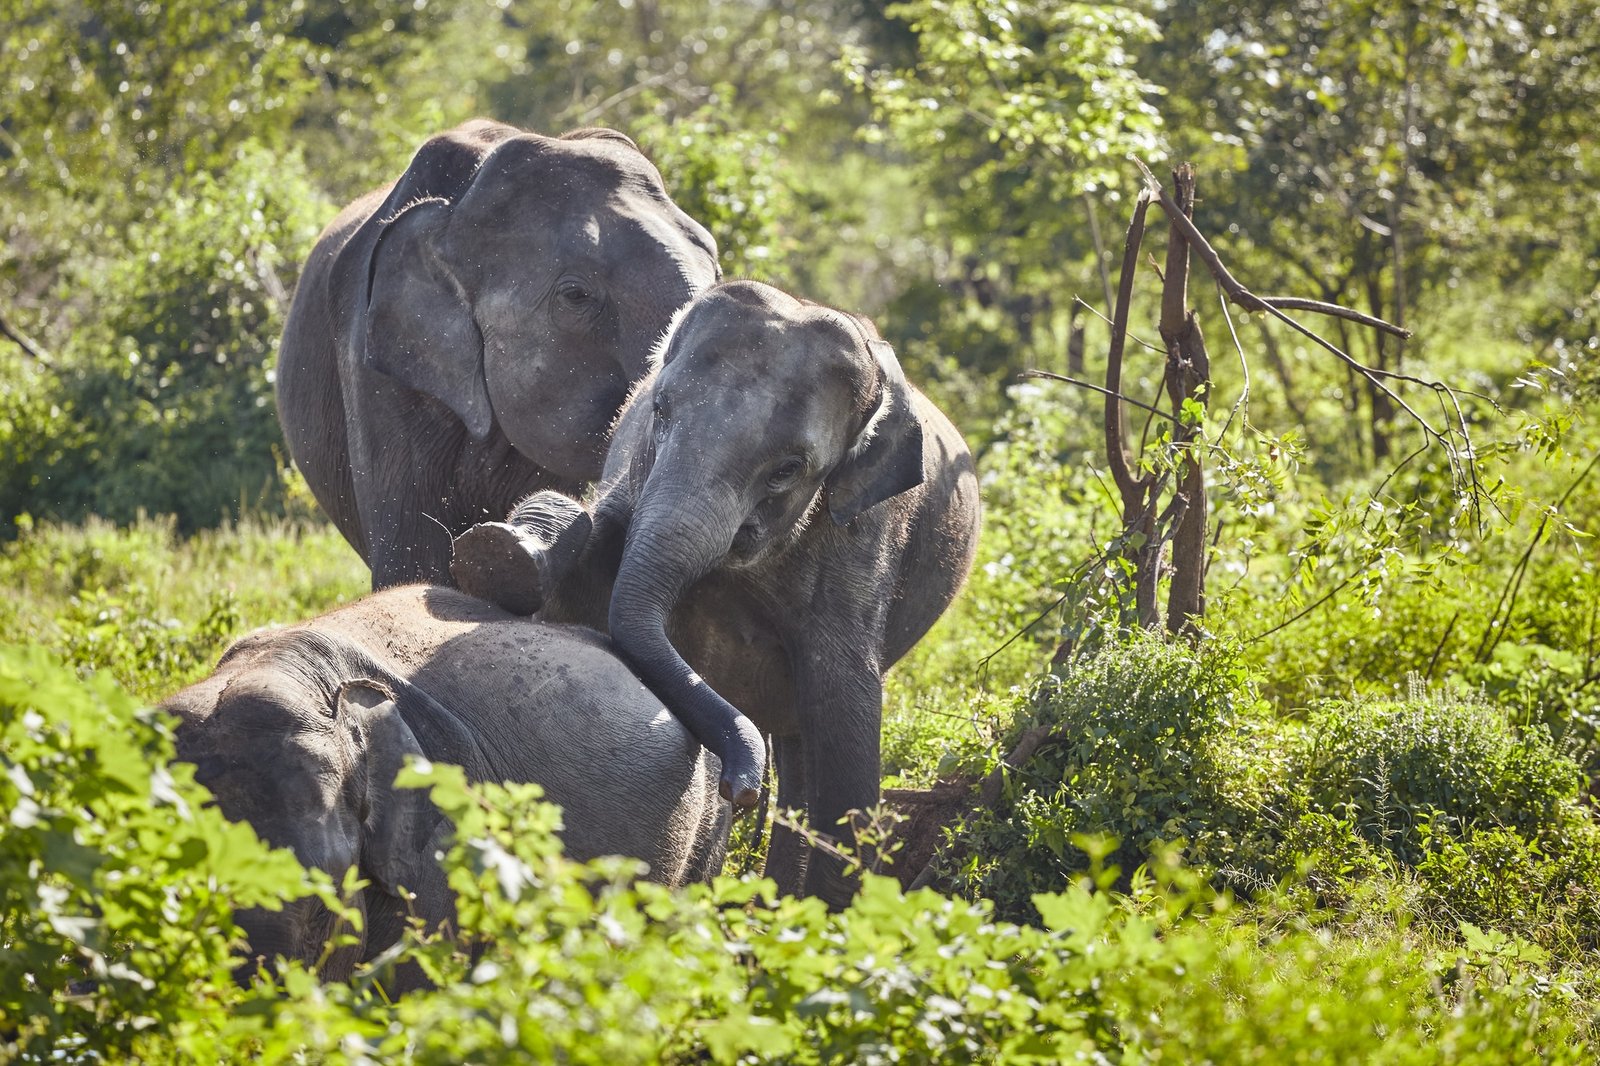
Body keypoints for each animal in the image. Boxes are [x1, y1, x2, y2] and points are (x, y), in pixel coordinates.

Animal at [449, 279, 981, 904]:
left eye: (787, 469)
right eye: (659, 411)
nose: (740, 789)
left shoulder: (861, 543)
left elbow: (846, 731)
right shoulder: (634, 469)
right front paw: (502, 554)